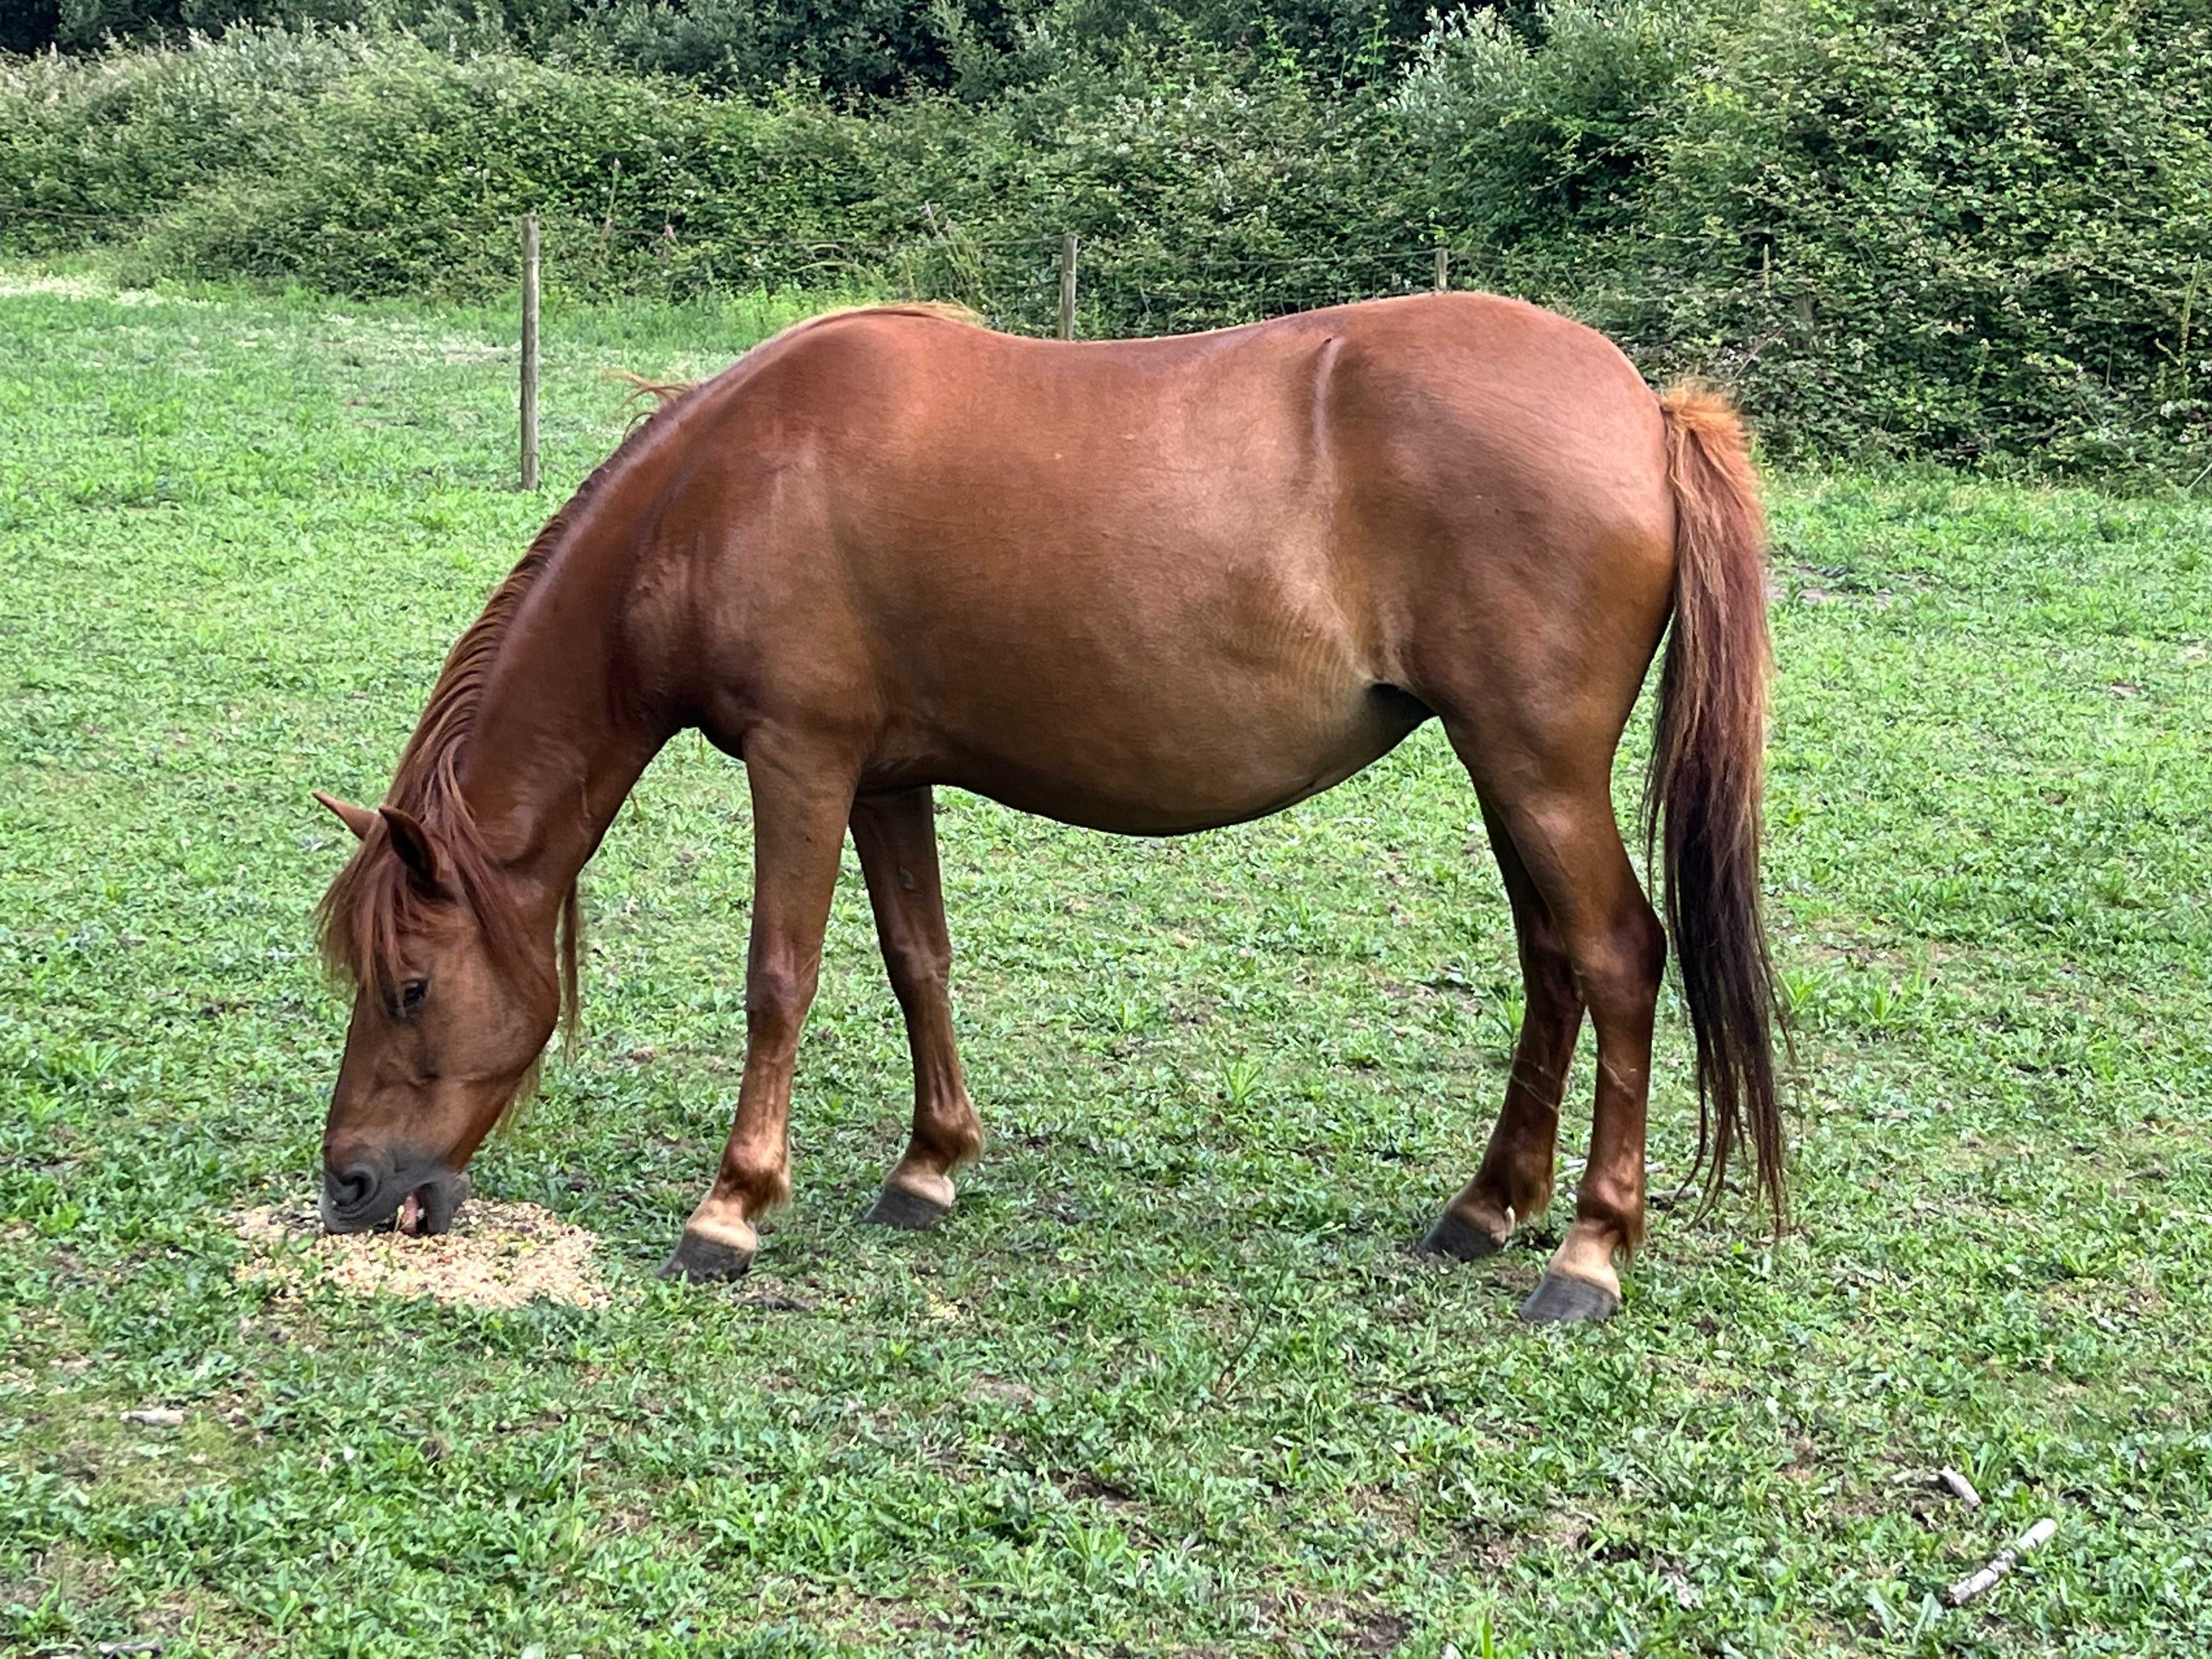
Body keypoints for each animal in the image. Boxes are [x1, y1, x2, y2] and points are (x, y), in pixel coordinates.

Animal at [312, 296, 1778, 1327]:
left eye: (409, 988)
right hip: (1504, 772)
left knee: (1617, 959)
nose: (351, 1187)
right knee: (1552, 966)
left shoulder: (800, 762)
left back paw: (1588, 1253)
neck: (723, 489)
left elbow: (781, 978)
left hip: (1536, 768)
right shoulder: (884, 777)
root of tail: (1644, 408)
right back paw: (1485, 1208)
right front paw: (929, 1168)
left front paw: (731, 1210)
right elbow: (918, 961)